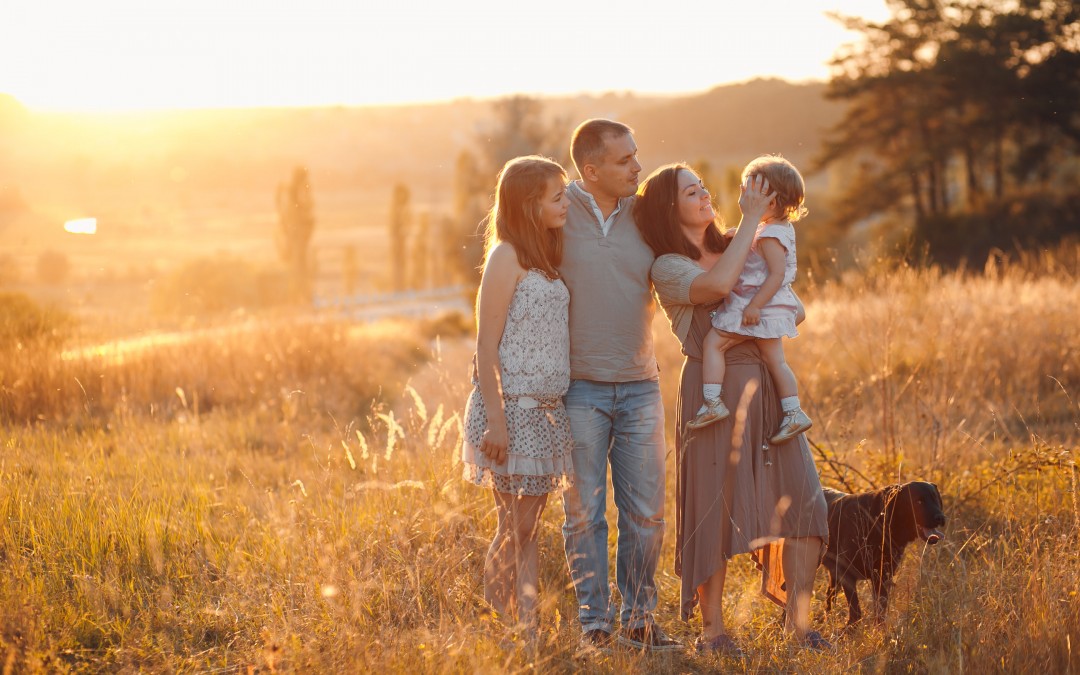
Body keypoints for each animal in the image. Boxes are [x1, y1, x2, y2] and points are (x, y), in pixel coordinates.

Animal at [820, 481, 941, 622]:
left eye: (936, 499)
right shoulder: (847, 574)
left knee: (830, 595)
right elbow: (856, 611)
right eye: (919, 501)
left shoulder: (882, 577)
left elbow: (880, 611)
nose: (940, 517)